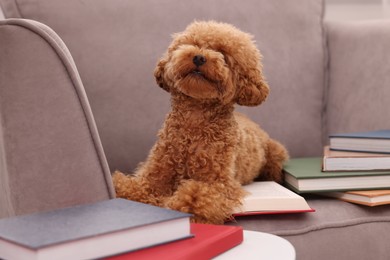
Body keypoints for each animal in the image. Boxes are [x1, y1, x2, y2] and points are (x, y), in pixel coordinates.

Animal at [111, 21, 288, 223]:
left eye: (223, 54)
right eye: (193, 44)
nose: (199, 57)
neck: (195, 123)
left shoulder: (218, 183)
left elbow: (196, 196)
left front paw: (183, 211)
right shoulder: (157, 172)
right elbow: (138, 187)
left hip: (276, 154)